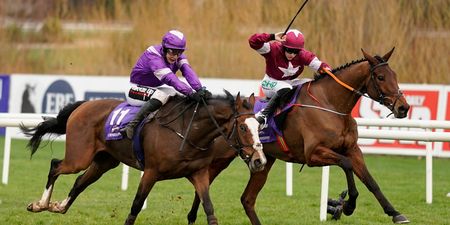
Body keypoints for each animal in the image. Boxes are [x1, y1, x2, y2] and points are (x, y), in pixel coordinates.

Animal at [20, 90, 268, 225]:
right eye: (243, 127)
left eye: (260, 125)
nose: (260, 161)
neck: (187, 131)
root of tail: (83, 105)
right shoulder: (151, 172)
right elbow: (136, 206)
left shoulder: (198, 173)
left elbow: (209, 209)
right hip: (79, 157)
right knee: (55, 166)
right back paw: (40, 204)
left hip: (104, 161)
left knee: (80, 181)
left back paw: (58, 206)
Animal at [185, 48, 412, 224]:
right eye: (380, 77)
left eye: (395, 75)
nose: (403, 107)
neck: (330, 105)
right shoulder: (313, 154)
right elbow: (346, 165)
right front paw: (348, 205)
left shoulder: (352, 149)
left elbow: (371, 181)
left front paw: (395, 213)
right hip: (220, 158)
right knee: (203, 185)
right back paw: (191, 216)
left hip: (262, 163)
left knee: (246, 199)